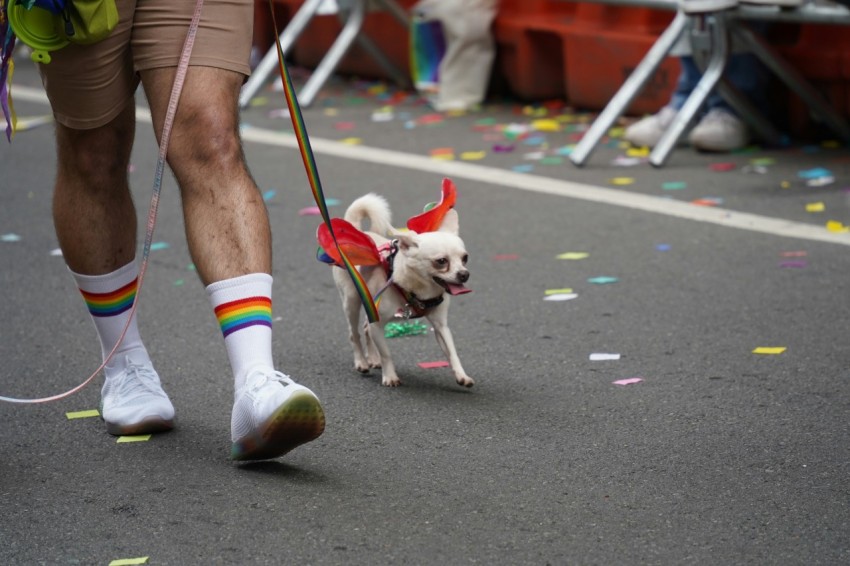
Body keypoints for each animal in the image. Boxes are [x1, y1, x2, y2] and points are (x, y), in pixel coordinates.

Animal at [330, 193, 474, 388]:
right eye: (441, 261)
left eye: (465, 258)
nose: (464, 274)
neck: (418, 289)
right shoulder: (378, 324)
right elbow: (386, 354)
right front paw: (390, 376)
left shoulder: (441, 326)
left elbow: (452, 352)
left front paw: (461, 375)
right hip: (351, 301)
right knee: (354, 333)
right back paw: (361, 362)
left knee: (365, 328)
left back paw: (373, 359)